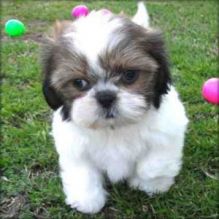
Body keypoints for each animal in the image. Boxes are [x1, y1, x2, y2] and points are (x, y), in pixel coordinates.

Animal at [41, 1, 188, 214]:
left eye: (130, 75)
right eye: (79, 83)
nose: (105, 97)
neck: (114, 128)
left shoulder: (169, 130)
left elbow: (154, 164)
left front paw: (148, 184)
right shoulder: (73, 145)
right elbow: (82, 172)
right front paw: (87, 200)